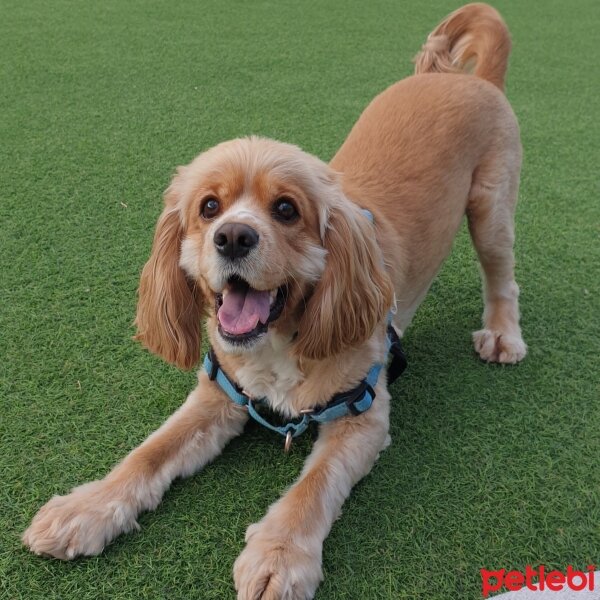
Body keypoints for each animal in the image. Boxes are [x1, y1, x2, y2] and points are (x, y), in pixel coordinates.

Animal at [22, 2, 524, 596]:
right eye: (208, 207)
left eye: (286, 209)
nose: (233, 237)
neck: (278, 346)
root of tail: (469, 80)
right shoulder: (217, 395)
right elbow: (150, 452)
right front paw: (87, 508)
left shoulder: (362, 413)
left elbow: (313, 487)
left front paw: (279, 556)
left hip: (491, 209)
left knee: (502, 276)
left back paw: (503, 334)